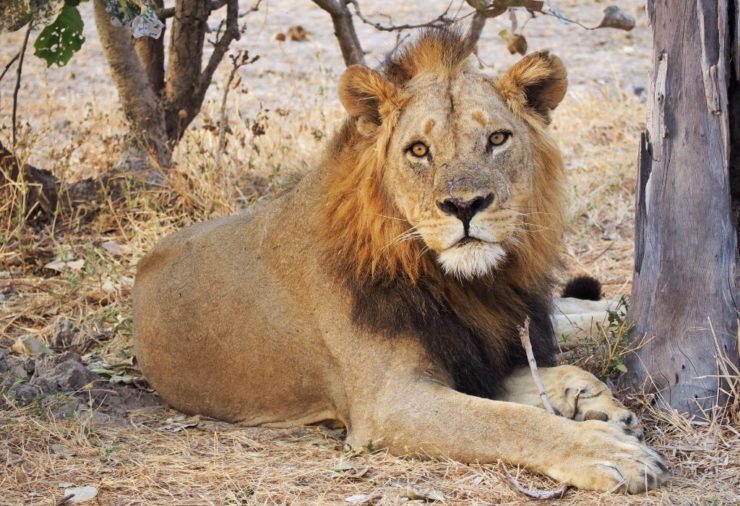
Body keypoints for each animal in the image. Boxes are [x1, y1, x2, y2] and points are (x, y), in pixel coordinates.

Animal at [130, 29, 668, 492]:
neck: (462, 284)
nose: (465, 205)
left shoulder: (478, 351)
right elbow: (508, 422)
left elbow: (558, 376)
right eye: (419, 150)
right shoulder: (390, 402)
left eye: (497, 139)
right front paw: (610, 450)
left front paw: (599, 404)